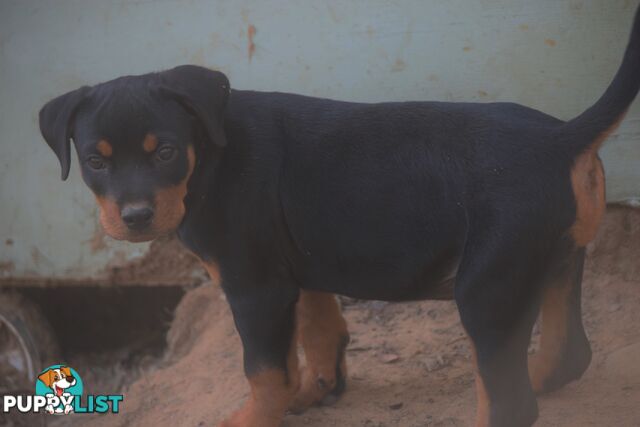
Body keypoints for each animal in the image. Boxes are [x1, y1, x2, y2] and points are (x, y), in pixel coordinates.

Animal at [38, 7, 640, 427]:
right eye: (95, 161)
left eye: (164, 151)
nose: (135, 217)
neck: (209, 154)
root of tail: (562, 139)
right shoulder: (297, 269)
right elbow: (318, 331)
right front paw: (316, 390)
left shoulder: (254, 286)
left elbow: (264, 369)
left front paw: (254, 416)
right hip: (554, 261)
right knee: (564, 355)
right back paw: (527, 376)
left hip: (489, 284)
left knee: (512, 401)